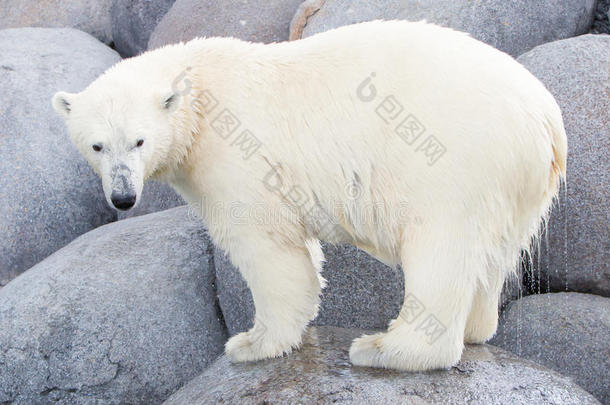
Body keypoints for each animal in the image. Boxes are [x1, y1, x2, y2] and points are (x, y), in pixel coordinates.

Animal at [52, 20, 564, 370]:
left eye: (139, 141)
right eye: (97, 145)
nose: (122, 198)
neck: (200, 91)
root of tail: (545, 120)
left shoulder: (234, 156)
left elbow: (268, 247)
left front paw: (251, 343)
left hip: (455, 167)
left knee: (441, 250)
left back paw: (384, 348)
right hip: (511, 190)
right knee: (490, 258)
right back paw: (476, 328)